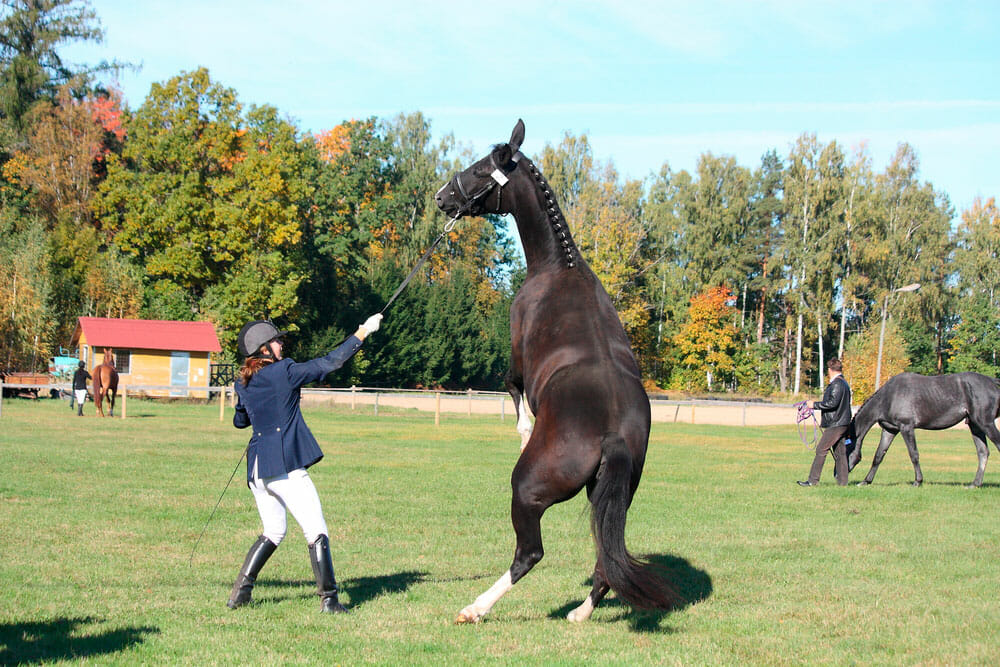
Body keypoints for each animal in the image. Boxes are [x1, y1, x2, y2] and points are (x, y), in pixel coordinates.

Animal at [434, 121, 676, 628]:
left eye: (479, 168)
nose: (443, 196)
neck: (559, 267)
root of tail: (613, 435)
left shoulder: (517, 357)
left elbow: (513, 389)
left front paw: (525, 429)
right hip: (612, 497)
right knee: (605, 558)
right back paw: (581, 612)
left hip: (526, 492)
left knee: (529, 554)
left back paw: (475, 608)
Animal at [848, 374, 1000, 488]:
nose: (842, 476)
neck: (888, 397)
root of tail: (993, 382)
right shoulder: (889, 430)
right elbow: (879, 455)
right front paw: (866, 481)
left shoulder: (906, 427)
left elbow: (914, 454)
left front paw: (918, 481)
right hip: (975, 425)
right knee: (983, 452)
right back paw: (975, 484)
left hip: (985, 423)